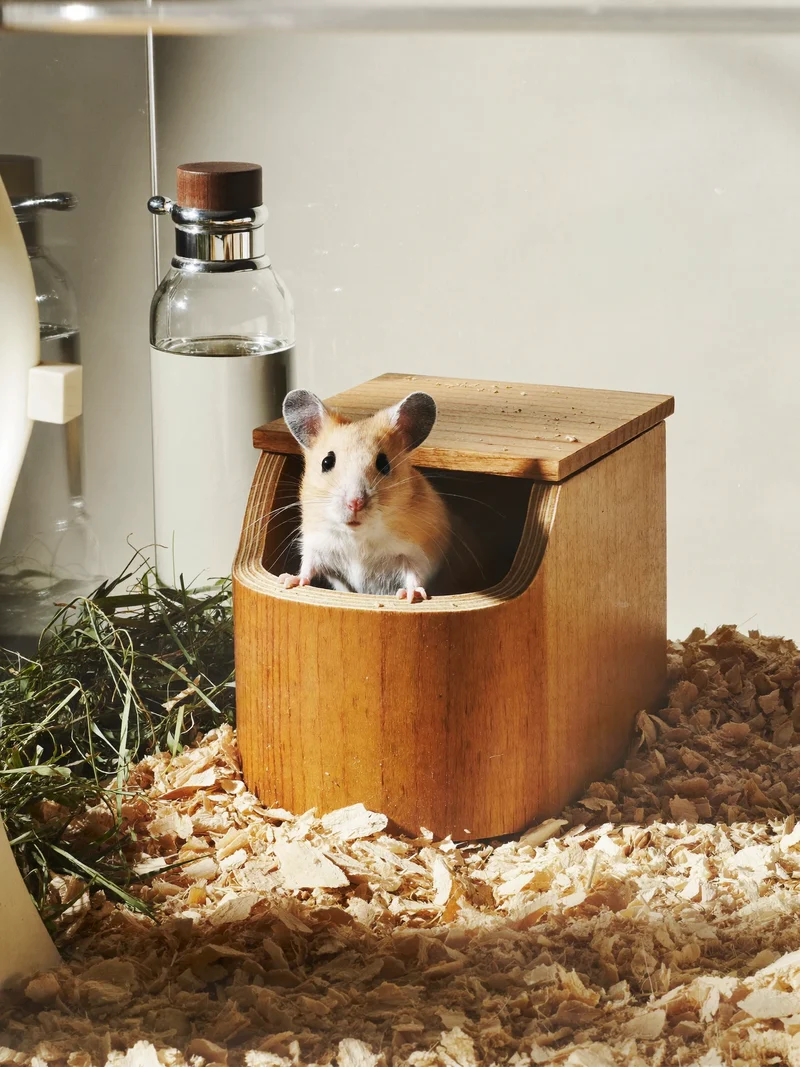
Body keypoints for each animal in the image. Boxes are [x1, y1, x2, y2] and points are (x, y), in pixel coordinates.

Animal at [279, 389, 451, 603]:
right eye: (326, 462)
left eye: (384, 464)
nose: (355, 503)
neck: (358, 536)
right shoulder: (315, 544)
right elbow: (307, 568)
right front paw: (287, 580)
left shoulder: (415, 552)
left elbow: (414, 575)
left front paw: (410, 596)